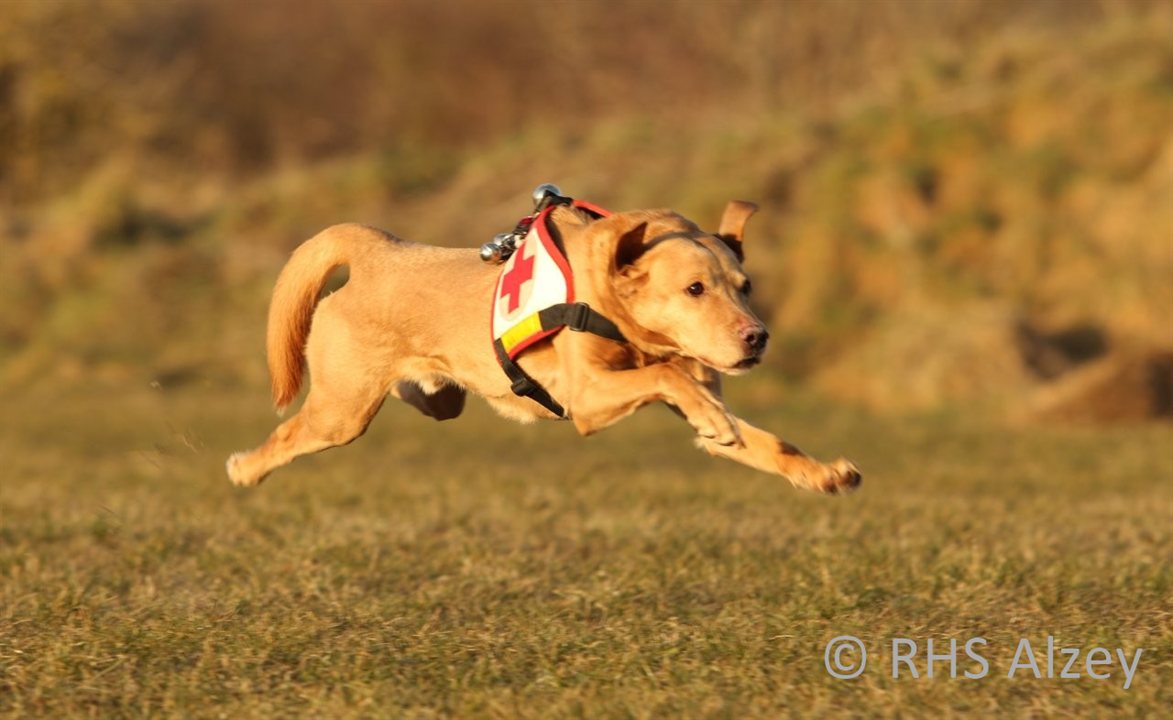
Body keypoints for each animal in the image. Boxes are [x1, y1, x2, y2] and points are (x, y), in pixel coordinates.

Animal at [226, 198, 861, 494]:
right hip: (342, 411)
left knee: (424, 393)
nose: (757, 337)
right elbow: (667, 379)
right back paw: (245, 469)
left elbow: (767, 443)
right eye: (694, 289)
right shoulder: (587, 399)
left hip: (434, 399)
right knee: (288, 435)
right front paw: (705, 410)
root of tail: (378, 248)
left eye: (745, 286)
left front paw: (822, 472)